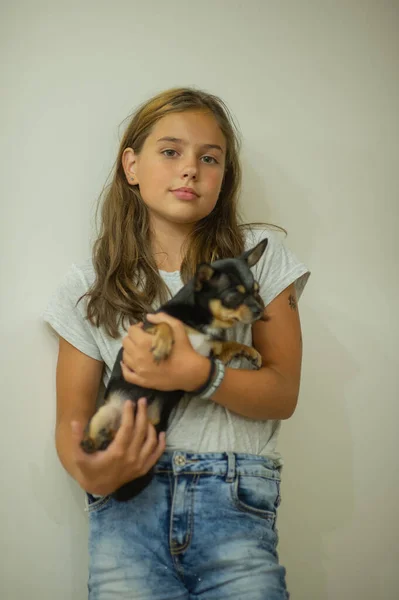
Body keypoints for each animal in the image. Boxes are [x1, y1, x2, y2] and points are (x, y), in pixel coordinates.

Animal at [81, 237, 268, 500]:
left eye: (257, 291)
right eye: (233, 298)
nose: (260, 310)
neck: (202, 322)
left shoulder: (212, 352)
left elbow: (230, 344)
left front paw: (250, 352)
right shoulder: (146, 329)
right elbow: (166, 325)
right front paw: (163, 344)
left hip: (150, 429)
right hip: (104, 413)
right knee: (94, 440)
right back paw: (91, 444)